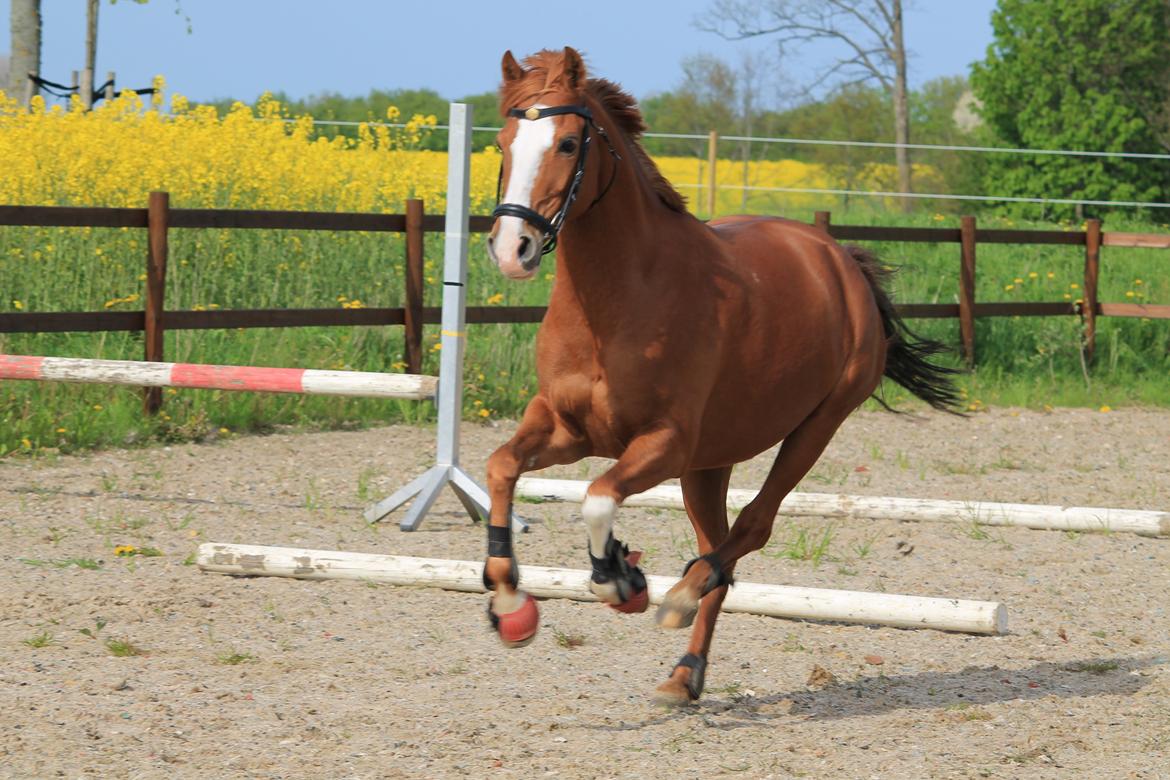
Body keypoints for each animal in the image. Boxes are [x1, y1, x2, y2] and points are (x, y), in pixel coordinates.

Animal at [479, 48, 954, 706]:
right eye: (503, 143)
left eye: (569, 143)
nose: (513, 249)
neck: (620, 298)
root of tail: (837, 258)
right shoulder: (566, 428)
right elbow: (501, 467)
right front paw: (508, 600)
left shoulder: (663, 443)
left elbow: (598, 499)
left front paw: (618, 579)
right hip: (709, 464)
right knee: (719, 549)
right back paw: (684, 673)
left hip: (812, 428)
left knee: (749, 529)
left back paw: (678, 597)